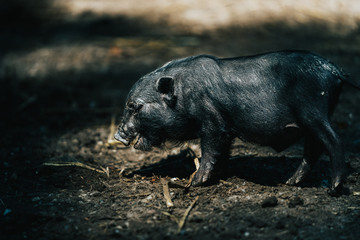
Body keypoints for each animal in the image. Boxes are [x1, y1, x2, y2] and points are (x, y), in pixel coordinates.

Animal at [114, 50, 358, 195]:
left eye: (135, 106)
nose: (117, 134)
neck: (183, 95)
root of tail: (335, 70)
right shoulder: (226, 130)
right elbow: (223, 152)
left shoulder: (212, 123)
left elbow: (210, 150)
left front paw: (196, 183)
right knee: (313, 148)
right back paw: (290, 182)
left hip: (314, 112)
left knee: (334, 142)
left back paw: (333, 189)